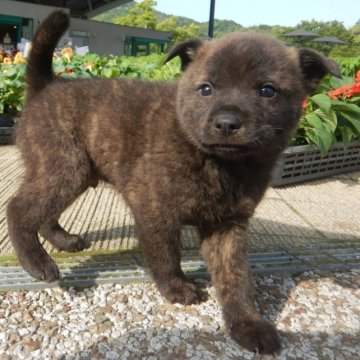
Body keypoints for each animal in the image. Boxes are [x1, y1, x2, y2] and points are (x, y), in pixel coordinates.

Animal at [8, 9, 340, 352]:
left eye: (267, 91)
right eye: (206, 89)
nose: (227, 123)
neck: (217, 162)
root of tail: (46, 87)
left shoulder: (228, 226)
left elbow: (236, 278)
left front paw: (248, 324)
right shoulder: (156, 210)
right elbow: (166, 255)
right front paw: (177, 288)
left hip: (72, 174)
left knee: (44, 212)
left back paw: (63, 241)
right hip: (65, 167)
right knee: (19, 208)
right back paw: (37, 262)